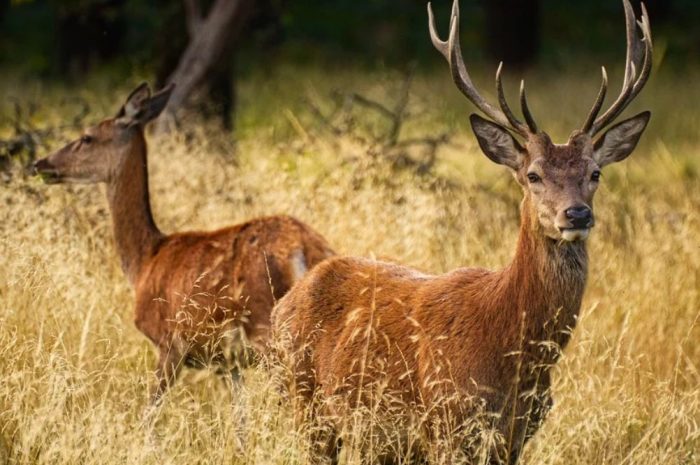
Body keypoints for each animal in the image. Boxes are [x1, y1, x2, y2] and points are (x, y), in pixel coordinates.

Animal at [31, 83, 334, 403]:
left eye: (87, 137)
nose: (39, 164)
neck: (144, 261)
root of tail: (303, 249)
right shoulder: (227, 363)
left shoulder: (169, 342)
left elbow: (150, 407)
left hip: (266, 326)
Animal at [271, 0, 652, 463]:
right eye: (533, 175)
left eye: (595, 173)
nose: (576, 214)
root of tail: (285, 302)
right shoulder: (447, 421)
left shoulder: (517, 436)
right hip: (305, 403)